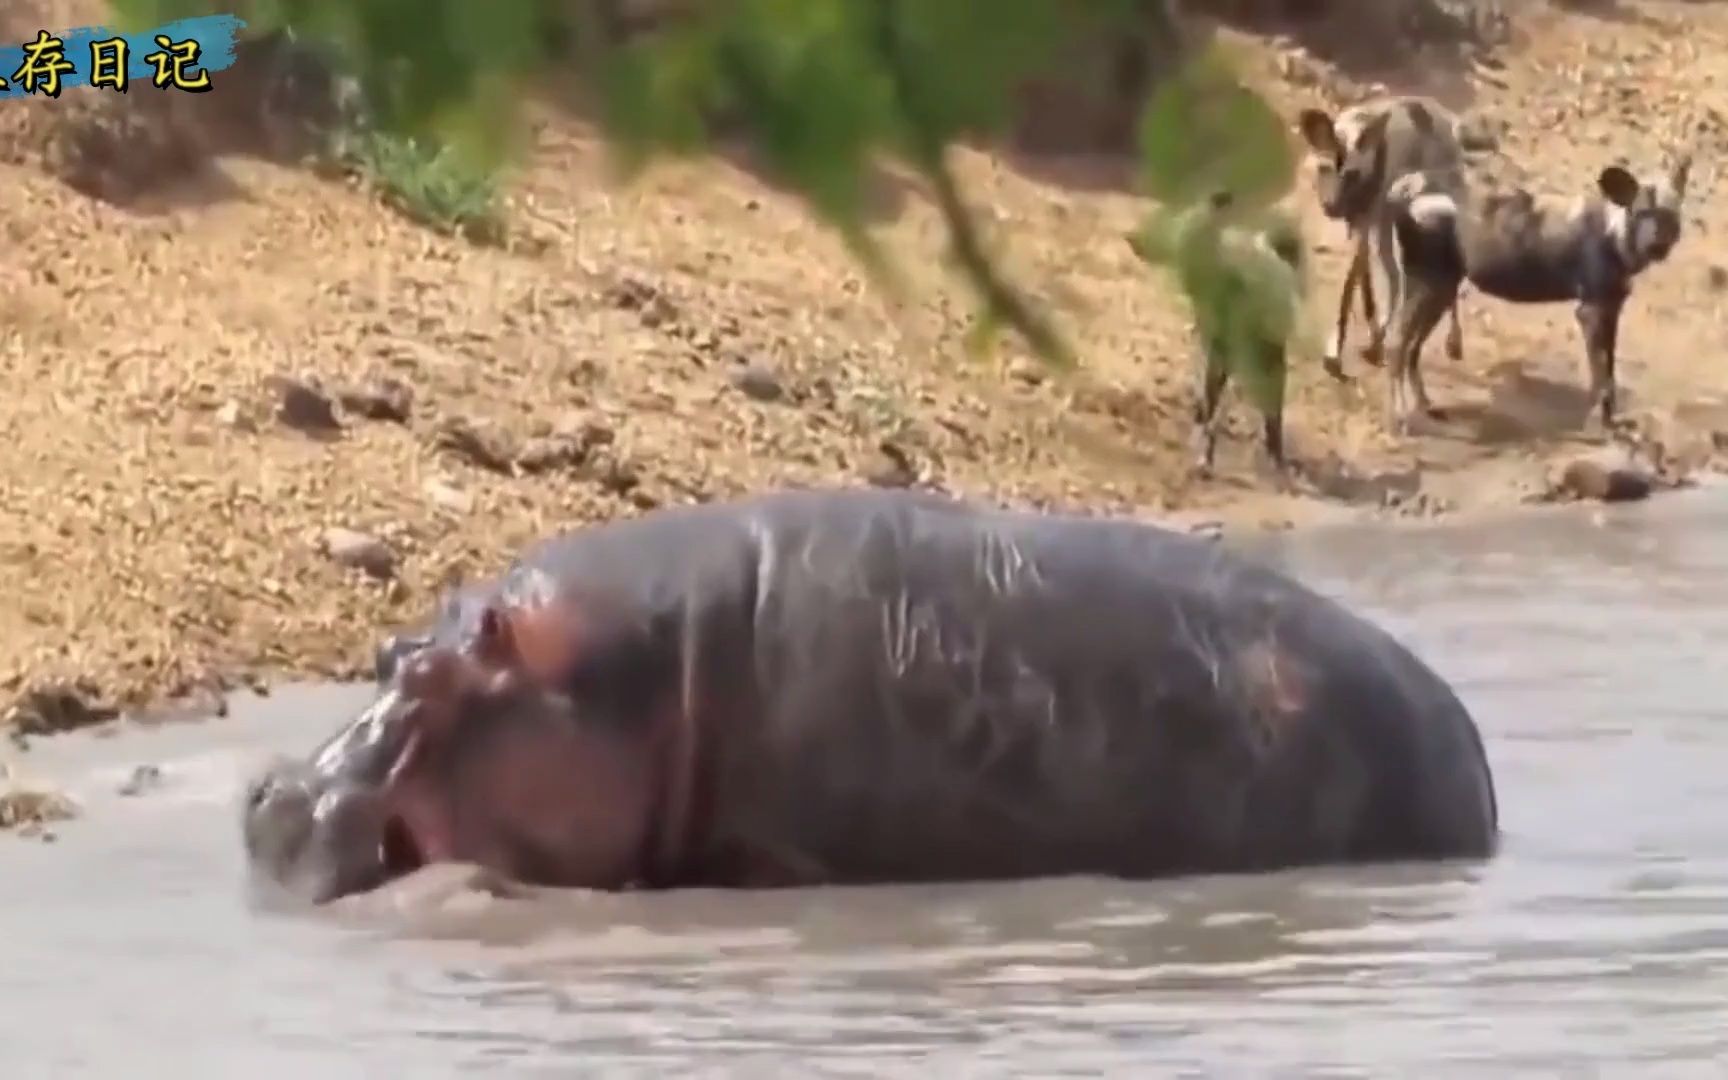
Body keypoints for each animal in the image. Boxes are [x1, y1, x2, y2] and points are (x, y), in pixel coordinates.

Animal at [1382, 145, 1693, 435]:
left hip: (1441, 289)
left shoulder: (1611, 311)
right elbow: (1601, 375)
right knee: (1396, 341)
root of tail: (1408, 184)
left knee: (1412, 348)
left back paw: (1425, 405)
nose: (1657, 245)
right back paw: (1399, 418)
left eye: (1670, 216)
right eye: (1642, 214)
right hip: (1429, 285)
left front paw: (1610, 421)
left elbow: (1610, 372)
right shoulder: (1591, 312)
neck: (1615, 233)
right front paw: (1599, 425)